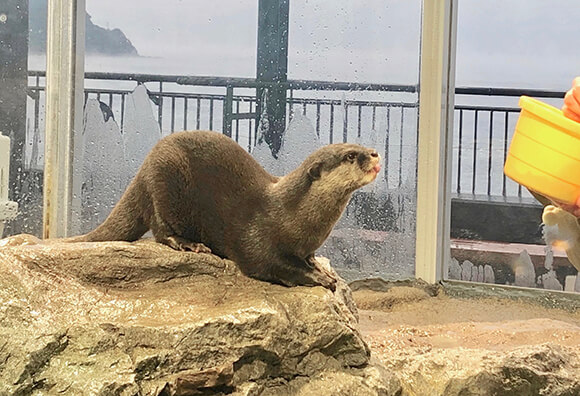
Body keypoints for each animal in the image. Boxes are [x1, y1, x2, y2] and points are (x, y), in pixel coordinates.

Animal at [75, 131, 380, 290]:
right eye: (350, 156)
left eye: (360, 145)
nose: (375, 153)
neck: (293, 216)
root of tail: (143, 167)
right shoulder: (256, 240)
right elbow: (271, 263)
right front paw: (319, 278)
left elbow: (307, 258)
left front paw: (319, 267)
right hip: (165, 178)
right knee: (161, 229)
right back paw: (190, 244)